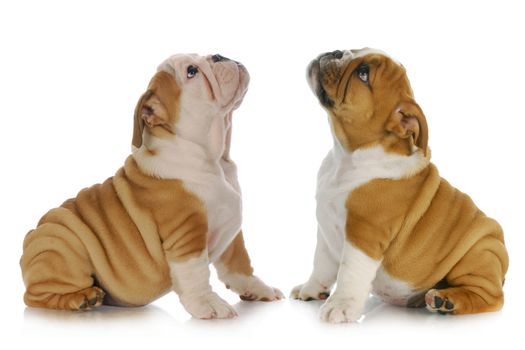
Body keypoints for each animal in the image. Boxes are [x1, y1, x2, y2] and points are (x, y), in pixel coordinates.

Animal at [19, 54, 282, 318]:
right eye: (192, 71)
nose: (218, 55)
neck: (215, 160)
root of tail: (29, 239)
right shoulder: (188, 234)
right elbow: (196, 273)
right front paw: (209, 304)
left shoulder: (231, 232)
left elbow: (239, 263)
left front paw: (258, 288)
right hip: (62, 246)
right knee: (36, 297)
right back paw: (82, 298)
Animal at [290, 48, 508, 322]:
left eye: (363, 74)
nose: (337, 51)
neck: (347, 157)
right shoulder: (326, 231)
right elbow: (321, 263)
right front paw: (311, 289)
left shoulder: (364, 233)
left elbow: (349, 272)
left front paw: (340, 305)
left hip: (480, 253)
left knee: (491, 297)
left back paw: (446, 300)